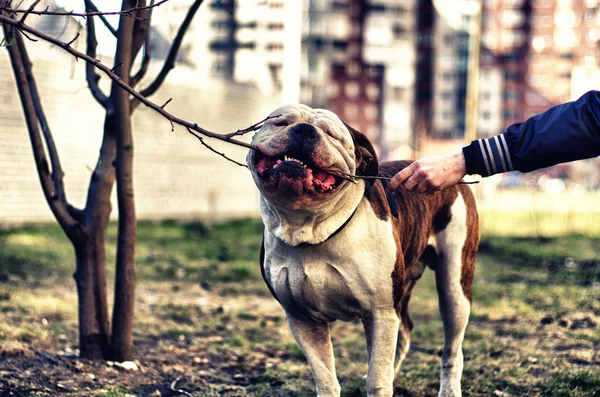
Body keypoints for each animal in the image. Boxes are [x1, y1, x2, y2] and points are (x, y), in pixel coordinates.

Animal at [246, 104, 480, 396]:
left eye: (331, 134)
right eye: (280, 123)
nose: (305, 129)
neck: (310, 227)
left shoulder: (380, 313)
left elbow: (378, 379)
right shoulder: (303, 321)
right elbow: (325, 377)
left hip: (454, 288)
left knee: (452, 348)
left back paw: (449, 388)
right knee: (405, 331)